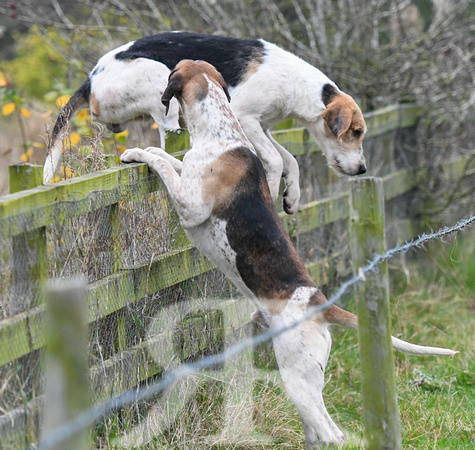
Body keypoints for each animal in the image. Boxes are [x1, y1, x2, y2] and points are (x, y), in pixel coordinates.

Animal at [42, 31, 368, 214]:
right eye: (355, 132)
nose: (363, 169)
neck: (296, 84)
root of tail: (90, 80)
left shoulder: (263, 127)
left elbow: (291, 160)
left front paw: (292, 197)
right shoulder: (246, 119)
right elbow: (276, 161)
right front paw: (275, 192)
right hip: (163, 88)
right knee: (167, 141)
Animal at [120, 60, 458, 450]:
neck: (221, 131)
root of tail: (320, 304)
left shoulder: (190, 207)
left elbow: (161, 165)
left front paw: (138, 153)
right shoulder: (187, 175)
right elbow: (167, 159)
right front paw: (146, 150)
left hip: (297, 380)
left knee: (333, 434)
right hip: (308, 380)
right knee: (317, 431)